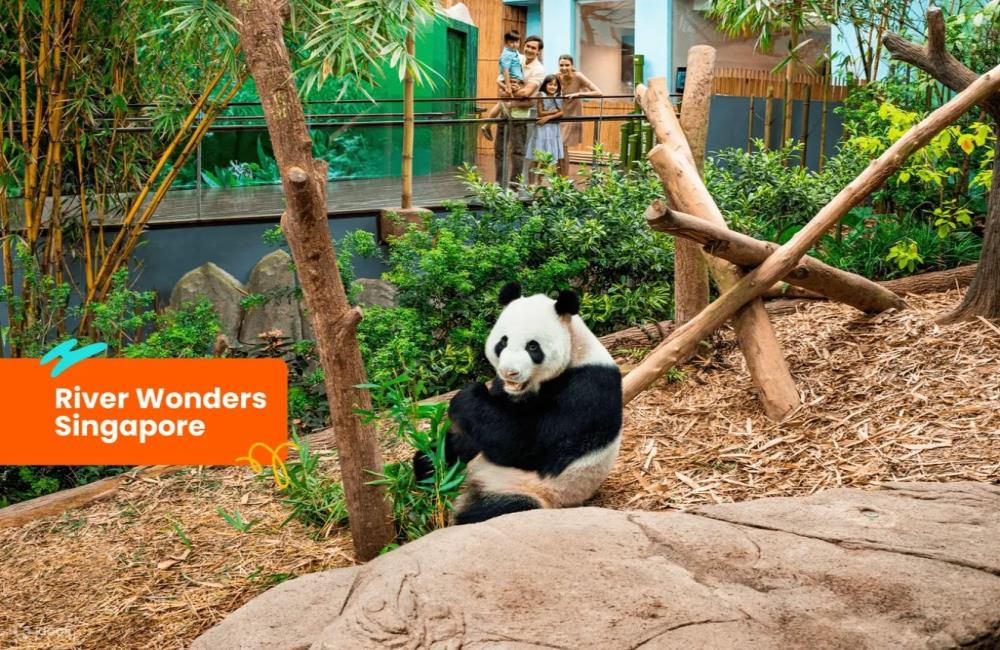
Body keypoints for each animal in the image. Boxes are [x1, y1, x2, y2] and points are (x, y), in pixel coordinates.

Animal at [412, 280, 616, 524]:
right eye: (503, 341)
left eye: (533, 347)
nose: (509, 372)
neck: (576, 349)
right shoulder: (504, 391)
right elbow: (480, 432)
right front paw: (433, 459)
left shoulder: (587, 388)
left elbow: (527, 445)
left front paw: (467, 396)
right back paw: (429, 467)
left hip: (530, 489)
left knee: (498, 509)